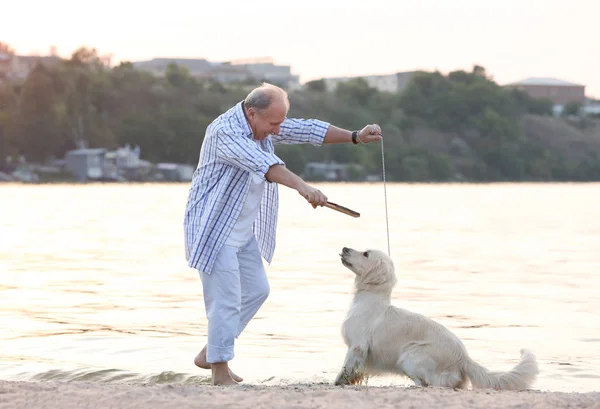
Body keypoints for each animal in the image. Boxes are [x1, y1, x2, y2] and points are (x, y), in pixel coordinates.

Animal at [332, 245, 540, 388]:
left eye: (366, 254)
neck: (370, 298)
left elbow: (345, 369)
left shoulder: (357, 346)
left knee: (429, 384)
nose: (344, 248)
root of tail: (464, 358)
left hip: (409, 355)